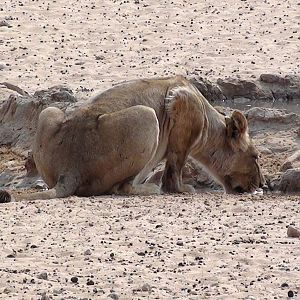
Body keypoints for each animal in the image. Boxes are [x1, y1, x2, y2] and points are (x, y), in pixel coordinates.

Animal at [3, 75, 264, 202]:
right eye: (255, 156)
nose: (262, 185)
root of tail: (69, 170)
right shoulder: (183, 109)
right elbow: (174, 173)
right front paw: (182, 189)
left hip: (49, 113)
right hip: (147, 116)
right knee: (122, 188)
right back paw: (148, 189)